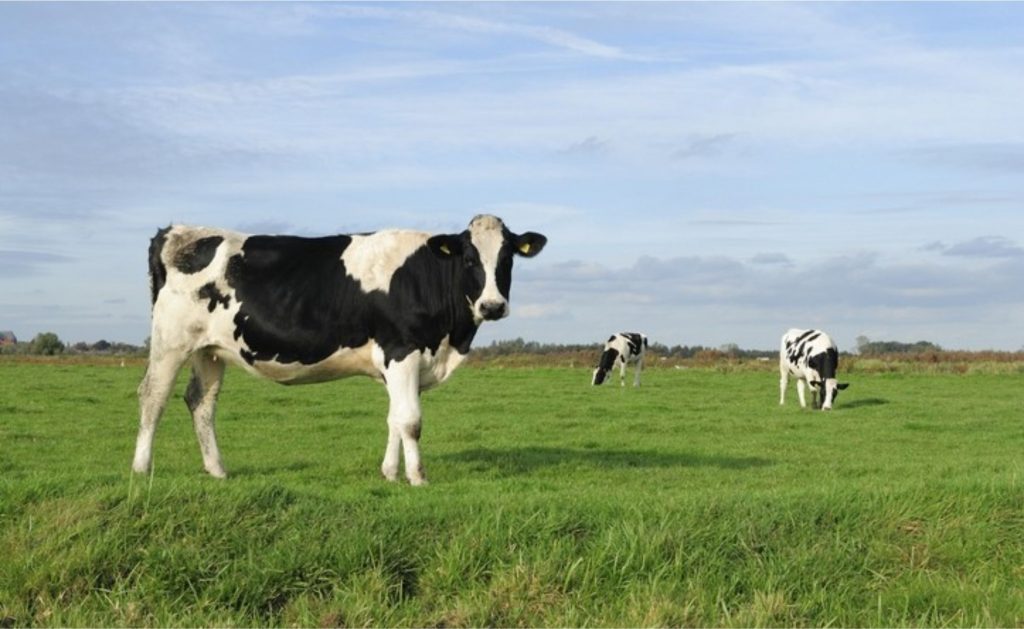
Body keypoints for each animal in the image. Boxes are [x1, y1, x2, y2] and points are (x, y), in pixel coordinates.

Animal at [133, 214, 548, 485]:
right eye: (469, 259)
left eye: (507, 258)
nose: (492, 306)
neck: (449, 340)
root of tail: (176, 231)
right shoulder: (402, 350)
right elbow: (411, 421)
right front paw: (417, 478)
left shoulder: (395, 363)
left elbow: (394, 418)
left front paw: (389, 473)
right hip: (171, 341)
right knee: (153, 396)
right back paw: (141, 468)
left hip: (210, 350)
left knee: (200, 402)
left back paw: (217, 470)